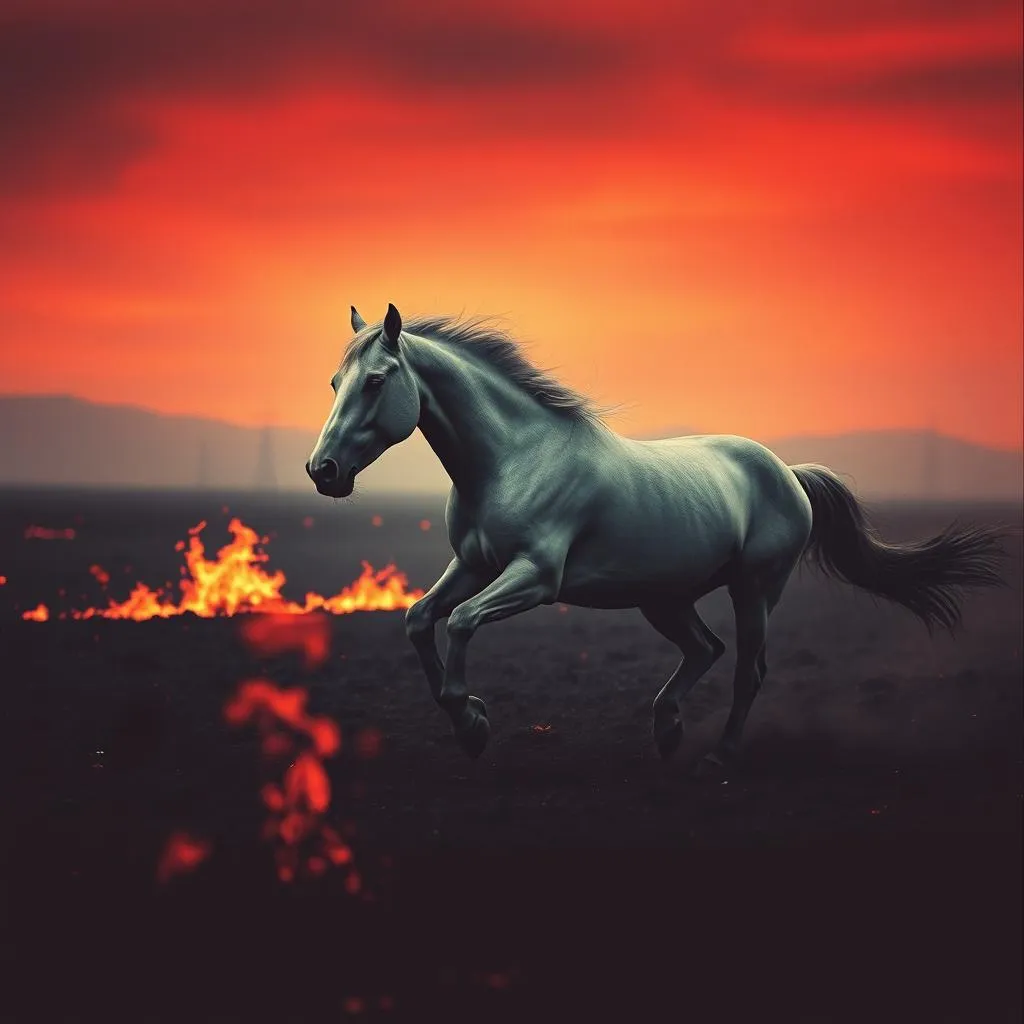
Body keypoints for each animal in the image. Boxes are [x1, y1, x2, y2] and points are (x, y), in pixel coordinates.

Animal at [306, 302, 1004, 774]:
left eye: (375, 381)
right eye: (335, 383)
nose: (323, 471)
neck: (514, 459)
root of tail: (788, 472)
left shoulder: (535, 577)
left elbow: (461, 622)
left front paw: (474, 723)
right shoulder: (473, 565)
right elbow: (420, 619)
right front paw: (468, 722)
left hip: (754, 590)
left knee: (748, 666)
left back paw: (719, 755)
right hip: (663, 598)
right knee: (706, 650)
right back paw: (667, 731)